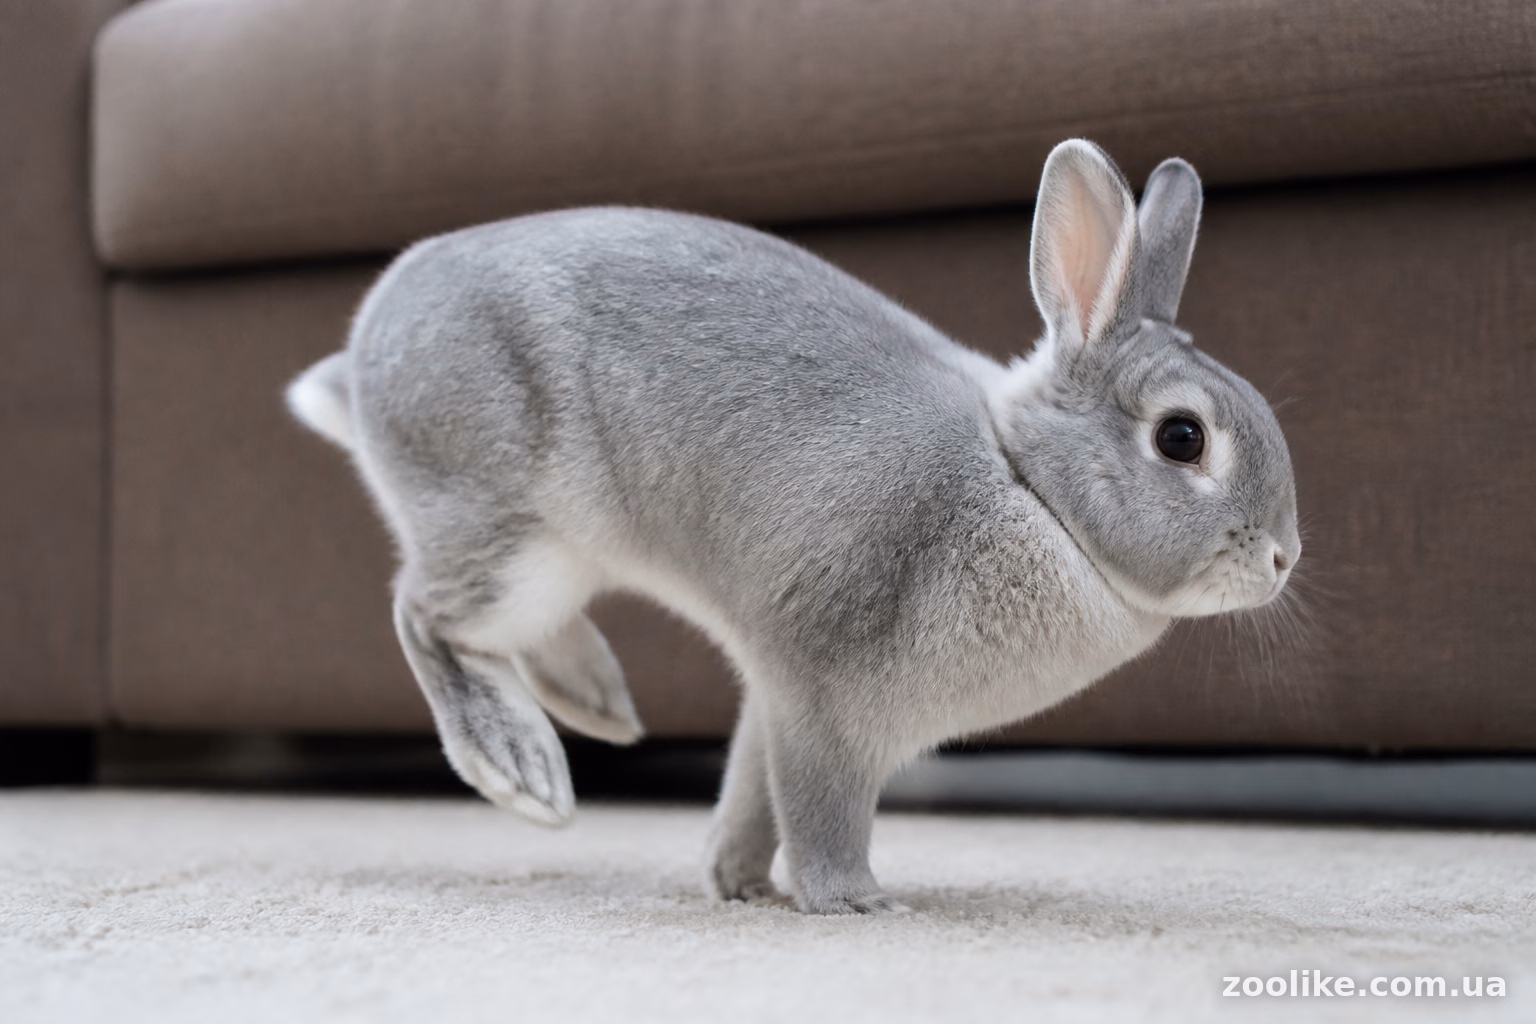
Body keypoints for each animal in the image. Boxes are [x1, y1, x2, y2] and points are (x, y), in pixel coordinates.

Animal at [287, 139, 1299, 915]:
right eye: (1181, 437)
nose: (1284, 557)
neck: (1029, 484)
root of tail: (367, 354)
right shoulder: (826, 697)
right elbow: (819, 805)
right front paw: (850, 902)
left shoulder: (772, 690)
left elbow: (750, 790)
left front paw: (736, 884)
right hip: (512, 532)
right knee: (426, 614)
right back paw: (521, 768)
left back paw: (597, 702)